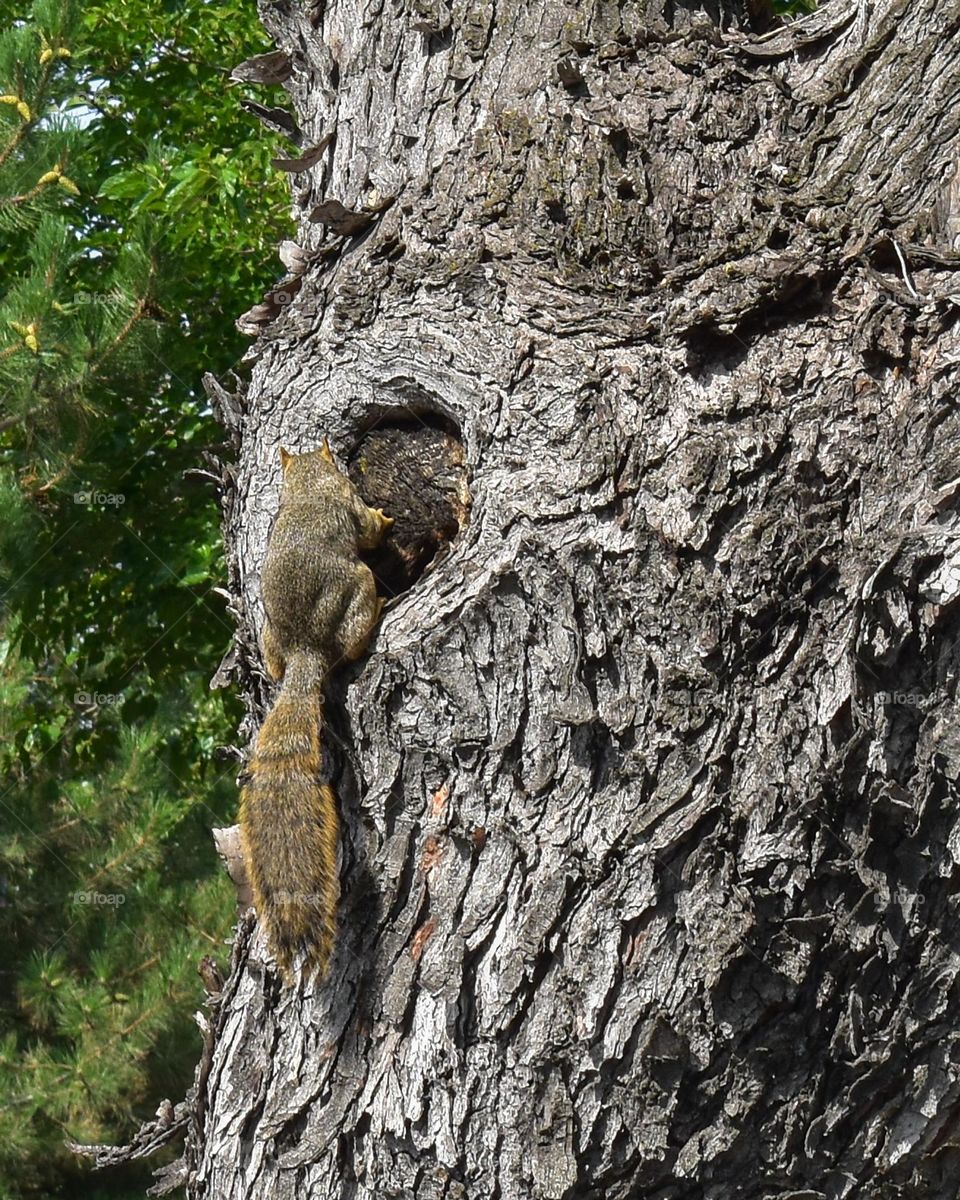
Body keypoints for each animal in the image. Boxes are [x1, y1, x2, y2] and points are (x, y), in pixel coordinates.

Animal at [238, 442, 392, 981]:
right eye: (334, 461)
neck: (307, 482)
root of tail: (305, 650)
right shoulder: (348, 504)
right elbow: (367, 527)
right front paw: (385, 517)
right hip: (356, 587)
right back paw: (383, 606)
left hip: (270, 641)